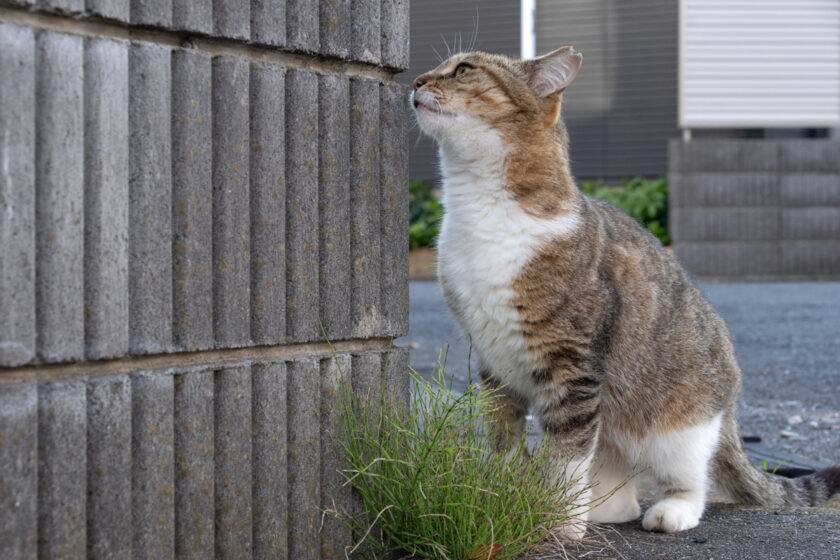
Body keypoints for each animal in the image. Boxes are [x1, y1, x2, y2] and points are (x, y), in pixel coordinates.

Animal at [408, 48, 840, 540]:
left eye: (464, 70)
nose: (416, 79)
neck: (480, 211)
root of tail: (729, 408)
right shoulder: (492, 360)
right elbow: (503, 437)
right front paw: (497, 498)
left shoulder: (572, 361)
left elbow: (568, 451)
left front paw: (561, 522)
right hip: (612, 427)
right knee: (620, 493)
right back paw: (599, 508)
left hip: (679, 429)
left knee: (690, 480)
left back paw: (671, 509)